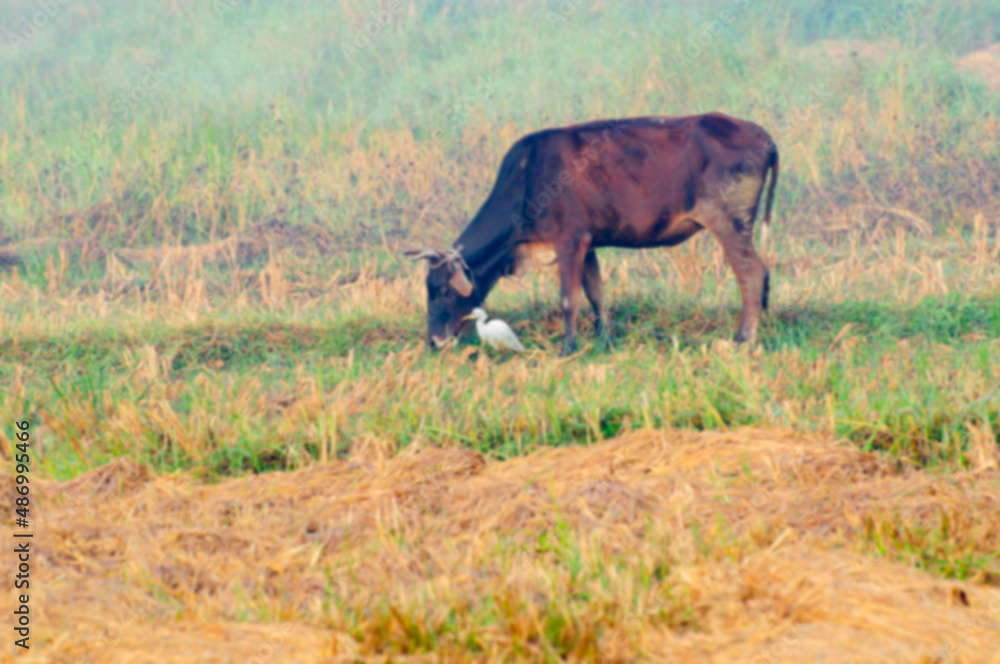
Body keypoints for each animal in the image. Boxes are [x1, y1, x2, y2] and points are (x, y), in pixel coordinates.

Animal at [406, 112, 779, 355]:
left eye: (441, 290)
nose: (434, 342)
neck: (527, 181)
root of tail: (762, 135)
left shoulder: (569, 242)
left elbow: (569, 299)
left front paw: (566, 349)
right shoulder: (589, 244)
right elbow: (596, 294)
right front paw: (604, 340)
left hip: (728, 222)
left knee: (752, 275)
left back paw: (743, 340)